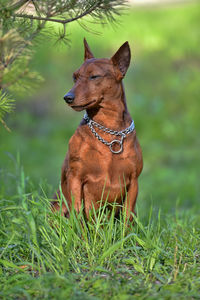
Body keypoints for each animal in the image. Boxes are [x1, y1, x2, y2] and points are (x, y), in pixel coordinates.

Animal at [51, 38, 142, 221]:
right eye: (74, 77)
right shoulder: (76, 179)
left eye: (94, 76)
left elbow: (126, 221)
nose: (67, 97)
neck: (109, 130)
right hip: (58, 206)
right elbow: (78, 217)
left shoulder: (133, 182)